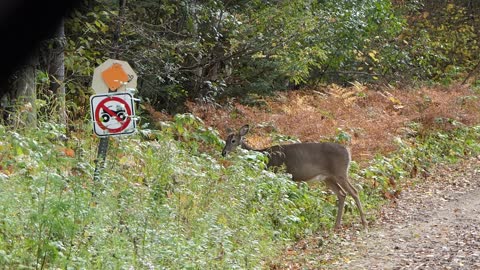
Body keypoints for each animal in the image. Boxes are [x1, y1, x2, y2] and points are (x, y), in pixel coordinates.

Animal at [221, 124, 368, 230]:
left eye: (233, 140)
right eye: (225, 140)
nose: (223, 153)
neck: (262, 156)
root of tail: (347, 151)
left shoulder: (278, 173)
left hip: (340, 172)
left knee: (354, 192)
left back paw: (364, 223)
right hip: (328, 178)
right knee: (342, 194)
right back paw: (337, 225)